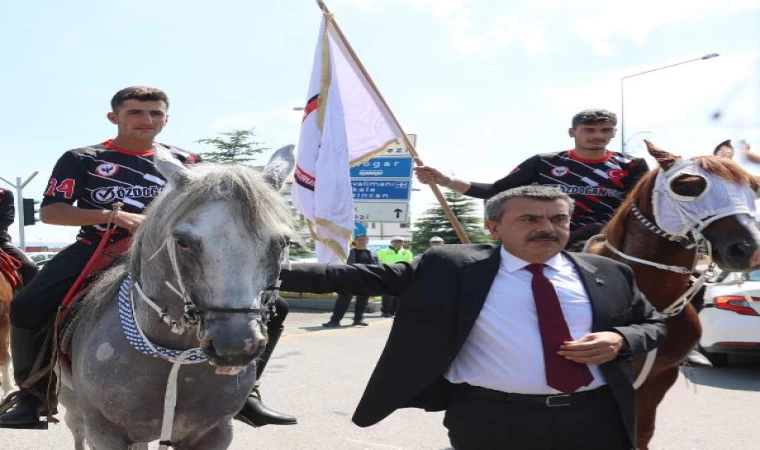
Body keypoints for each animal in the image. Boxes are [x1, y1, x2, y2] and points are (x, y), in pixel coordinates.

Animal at [58, 146, 296, 448]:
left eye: (282, 242)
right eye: (182, 241)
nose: (234, 345)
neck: (174, 359)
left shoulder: (216, 432)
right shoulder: (104, 432)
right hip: (71, 402)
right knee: (75, 425)